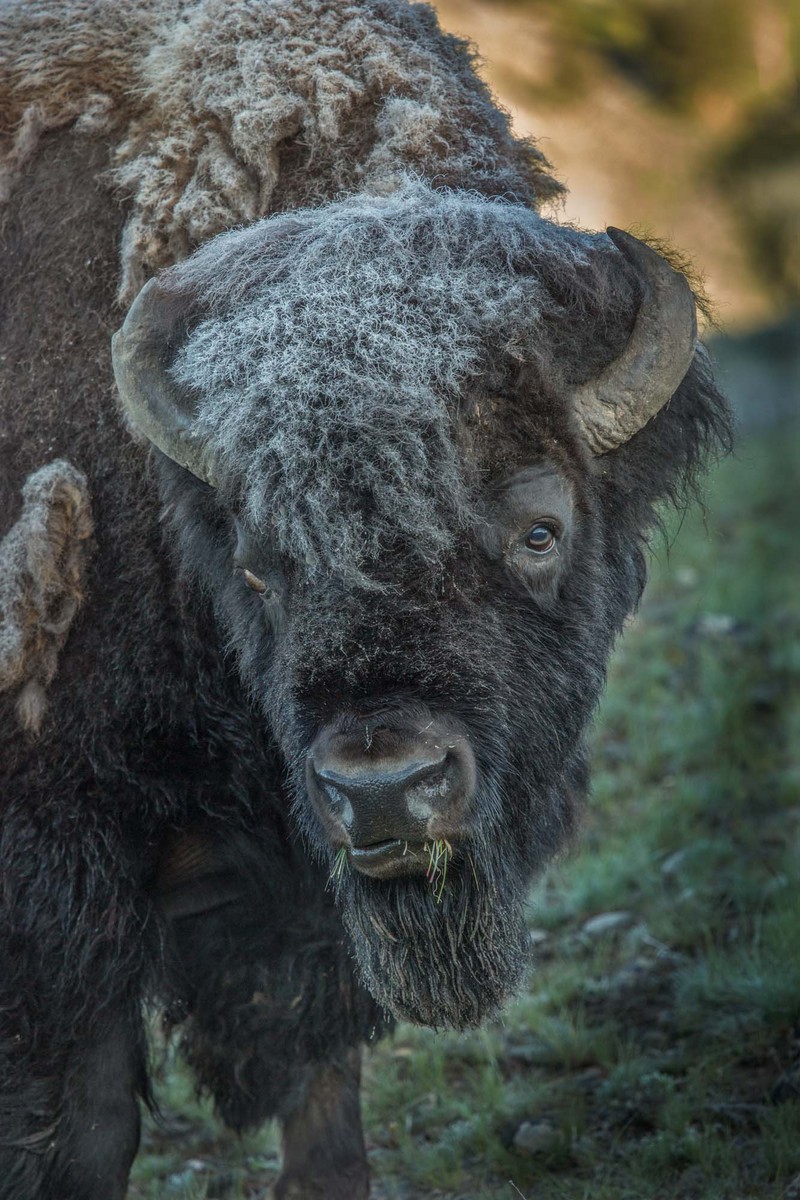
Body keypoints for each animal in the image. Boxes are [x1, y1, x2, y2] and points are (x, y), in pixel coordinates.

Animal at [0, 1, 730, 1197]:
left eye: (539, 530)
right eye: (259, 564)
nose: (385, 788)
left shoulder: (308, 901)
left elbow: (323, 1102)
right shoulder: (62, 893)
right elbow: (91, 1124)